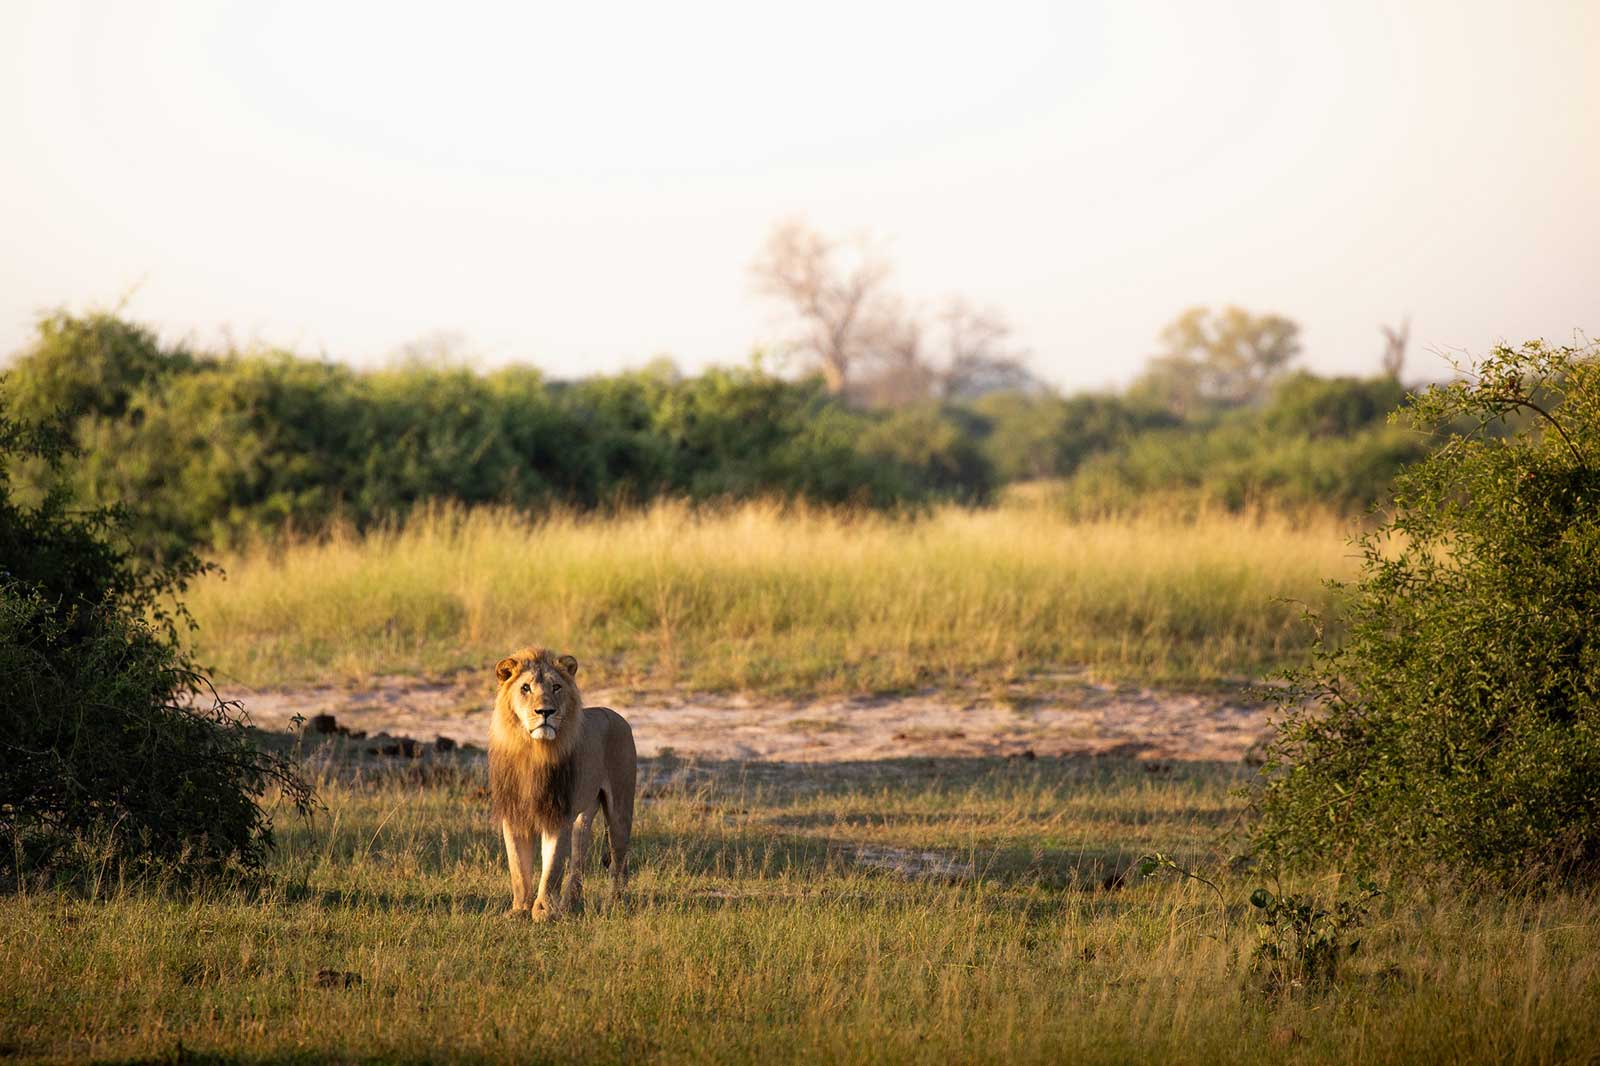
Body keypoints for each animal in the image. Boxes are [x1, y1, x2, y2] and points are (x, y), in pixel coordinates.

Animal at [488, 647, 636, 920]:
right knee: (579, 860)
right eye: (525, 688)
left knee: (619, 863)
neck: (533, 751)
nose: (545, 712)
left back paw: (614, 905)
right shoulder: (513, 815)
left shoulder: (557, 814)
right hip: (582, 816)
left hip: (620, 811)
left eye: (556, 687)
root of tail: (615, 713)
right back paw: (569, 903)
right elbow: (518, 869)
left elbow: (552, 867)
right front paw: (519, 910)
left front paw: (543, 911)